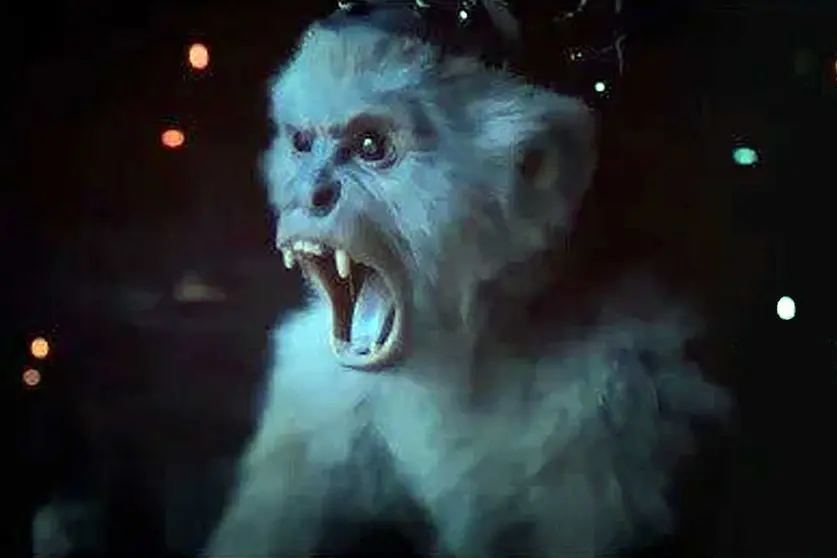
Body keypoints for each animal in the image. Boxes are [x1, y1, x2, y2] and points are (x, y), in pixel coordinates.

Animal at [206, 4, 729, 557]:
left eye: (371, 146)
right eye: (302, 144)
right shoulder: (311, 385)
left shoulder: (630, 392)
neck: (470, 354)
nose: (308, 193)